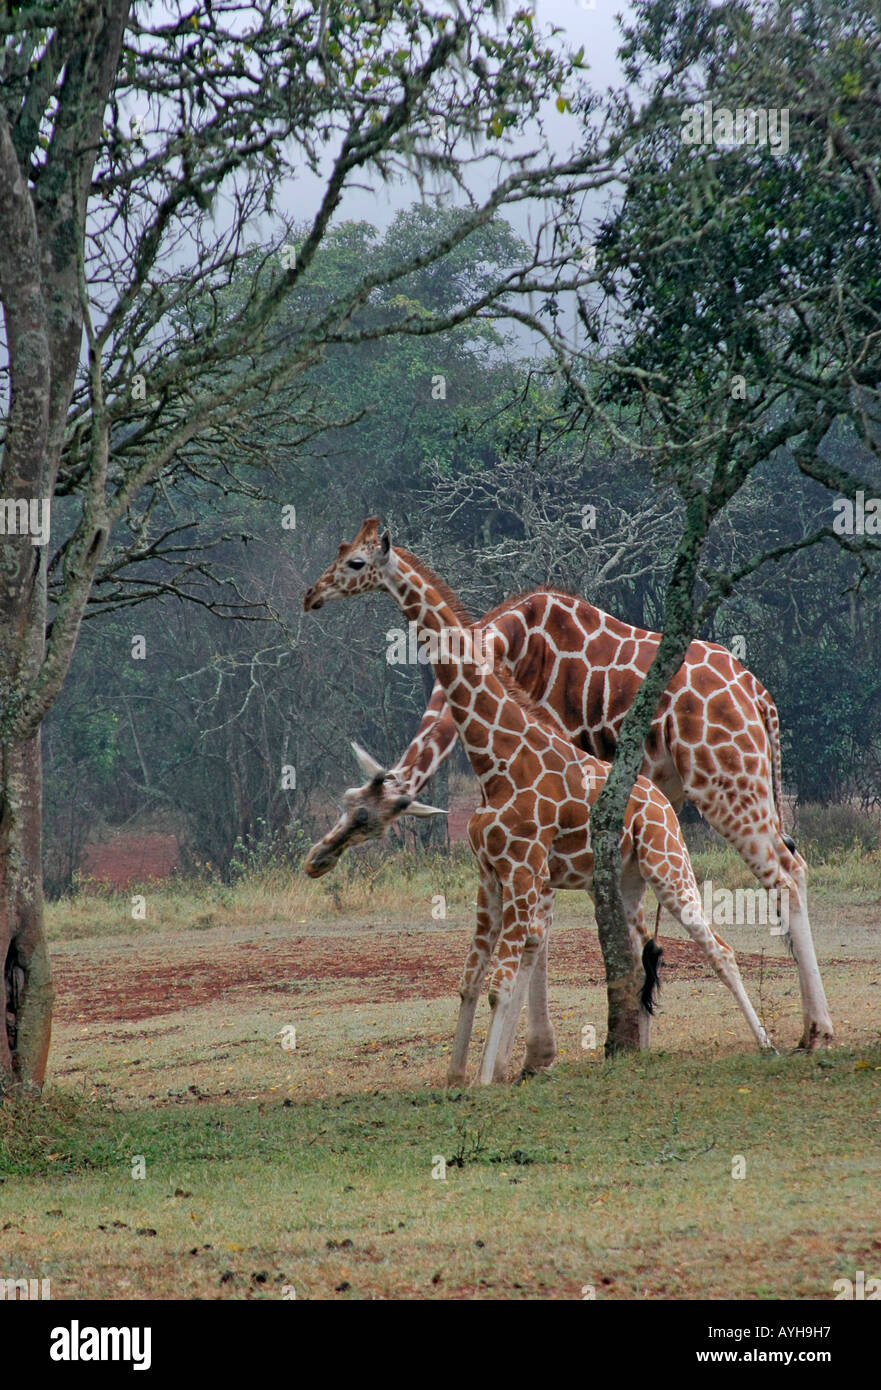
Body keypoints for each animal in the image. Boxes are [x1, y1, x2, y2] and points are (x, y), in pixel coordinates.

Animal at [303, 519, 772, 1084]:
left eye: (355, 563)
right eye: (339, 551)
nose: (311, 595)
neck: (497, 757)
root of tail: (663, 805)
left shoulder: (525, 871)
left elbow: (503, 983)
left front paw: (494, 1077)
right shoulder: (490, 876)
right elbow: (470, 980)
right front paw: (460, 1078)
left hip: (673, 858)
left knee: (722, 944)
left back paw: (774, 1043)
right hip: (629, 878)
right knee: (642, 957)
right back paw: (639, 1047)